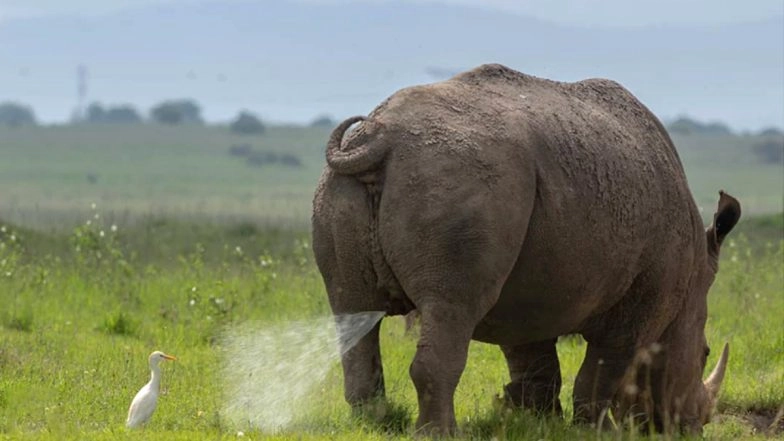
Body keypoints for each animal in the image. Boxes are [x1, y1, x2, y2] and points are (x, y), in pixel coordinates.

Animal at [312, 64, 740, 436]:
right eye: (704, 352)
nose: (692, 427)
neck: (695, 275)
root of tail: (380, 138)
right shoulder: (642, 302)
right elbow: (605, 368)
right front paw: (594, 431)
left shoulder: (530, 292)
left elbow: (535, 362)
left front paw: (538, 424)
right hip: (461, 179)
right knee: (451, 307)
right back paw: (440, 434)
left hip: (347, 189)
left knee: (352, 309)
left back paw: (372, 425)